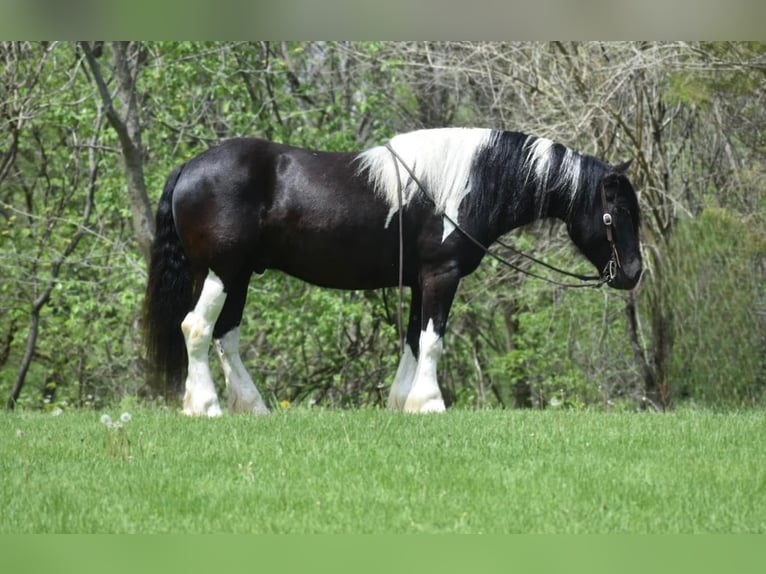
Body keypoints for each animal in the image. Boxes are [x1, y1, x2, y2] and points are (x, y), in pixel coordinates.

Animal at [142, 126, 640, 416]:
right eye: (616, 212)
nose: (633, 273)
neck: (463, 185)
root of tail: (188, 167)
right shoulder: (442, 274)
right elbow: (433, 340)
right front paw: (431, 404)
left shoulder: (421, 279)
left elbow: (414, 340)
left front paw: (403, 403)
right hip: (221, 272)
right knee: (196, 328)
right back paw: (205, 406)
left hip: (239, 275)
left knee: (225, 336)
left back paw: (252, 408)